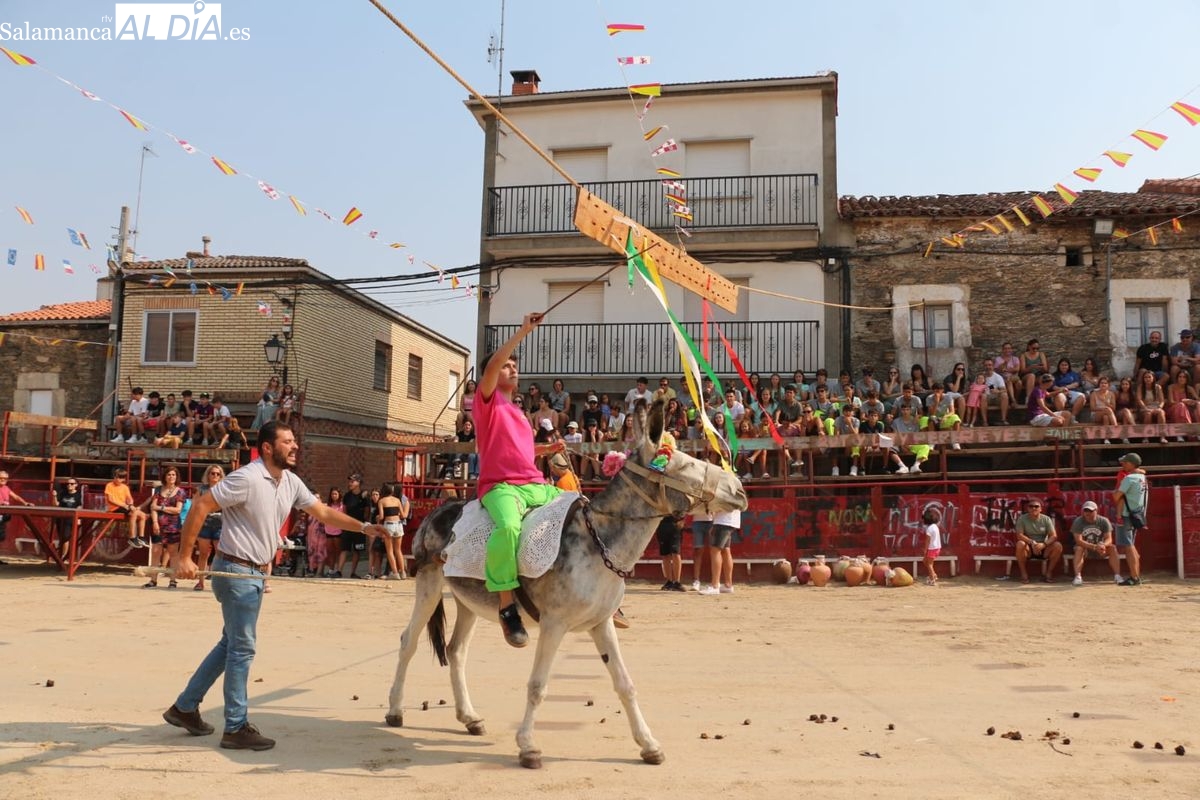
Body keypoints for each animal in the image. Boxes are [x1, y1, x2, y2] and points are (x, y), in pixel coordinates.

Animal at [385, 400, 747, 768]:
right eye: (683, 464)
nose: (739, 489)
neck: (597, 541)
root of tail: (436, 511)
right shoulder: (554, 624)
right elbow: (538, 685)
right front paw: (528, 746)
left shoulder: (601, 624)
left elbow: (624, 683)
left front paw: (649, 745)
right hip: (429, 585)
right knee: (408, 641)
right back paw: (395, 710)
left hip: (466, 602)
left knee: (456, 651)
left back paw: (470, 718)